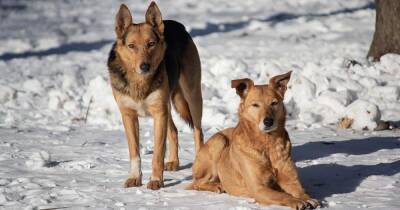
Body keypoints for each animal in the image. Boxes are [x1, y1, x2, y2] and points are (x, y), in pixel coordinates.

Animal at [107, 1, 203, 189]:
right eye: (131, 46)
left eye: (151, 44)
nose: (145, 66)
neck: (139, 82)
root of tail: (177, 25)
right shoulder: (129, 115)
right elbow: (134, 153)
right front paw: (134, 178)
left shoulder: (159, 113)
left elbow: (158, 153)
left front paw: (156, 180)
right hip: (168, 105)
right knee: (173, 131)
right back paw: (174, 162)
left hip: (192, 96)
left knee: (198, 132)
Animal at [189, 72, 320, 208]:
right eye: (255, 105)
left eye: (274, 103)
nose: (268, 121)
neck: (267, 143)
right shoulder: (258, 188)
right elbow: (282, 195)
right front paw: (296, 201)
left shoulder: (291, 181)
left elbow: (300, 191)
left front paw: (307, 198)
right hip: (219, 141)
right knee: (195, 183)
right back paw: (217, 186)